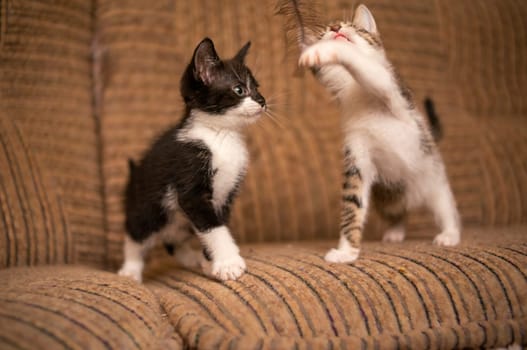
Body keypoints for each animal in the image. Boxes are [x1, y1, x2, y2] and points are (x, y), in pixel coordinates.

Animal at [120, 37, 268, 282]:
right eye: (239, 89)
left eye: (257, 88)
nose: (262, 101)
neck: (220, 135)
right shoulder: (189, 182)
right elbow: (213, 227)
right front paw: (228, 263)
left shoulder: (226, 195)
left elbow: (218, 224)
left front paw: (211, 262)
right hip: (151, 207)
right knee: (137, 234)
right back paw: (130, 270)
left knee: (173, 241)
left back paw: (191, 258)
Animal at [302, 4, 462, 262]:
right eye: (325, 30)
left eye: (352, 26)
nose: (335, 28)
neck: (354, 90)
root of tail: (413, 197)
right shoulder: (358, 155)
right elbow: (353, 204)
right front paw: (347, 252)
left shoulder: (391, 90)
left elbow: (369, 69)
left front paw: (328, 50)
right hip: (389, 196)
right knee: (399, 212)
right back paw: (396, 231)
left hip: (434, 178)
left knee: (445, 207)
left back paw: (450, 234)